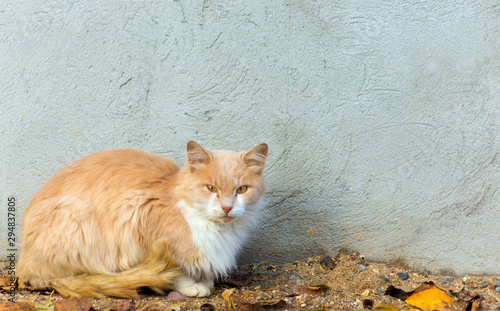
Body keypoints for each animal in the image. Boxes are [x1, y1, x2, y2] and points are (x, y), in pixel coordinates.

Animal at [17, 141, 268, 300]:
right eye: (211, 188)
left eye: (241, 189)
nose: (227, 207)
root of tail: (22, 263)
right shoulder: (139, 212)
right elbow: (178, 269)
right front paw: (190, 286)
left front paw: (205, 281)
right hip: (75, 218)